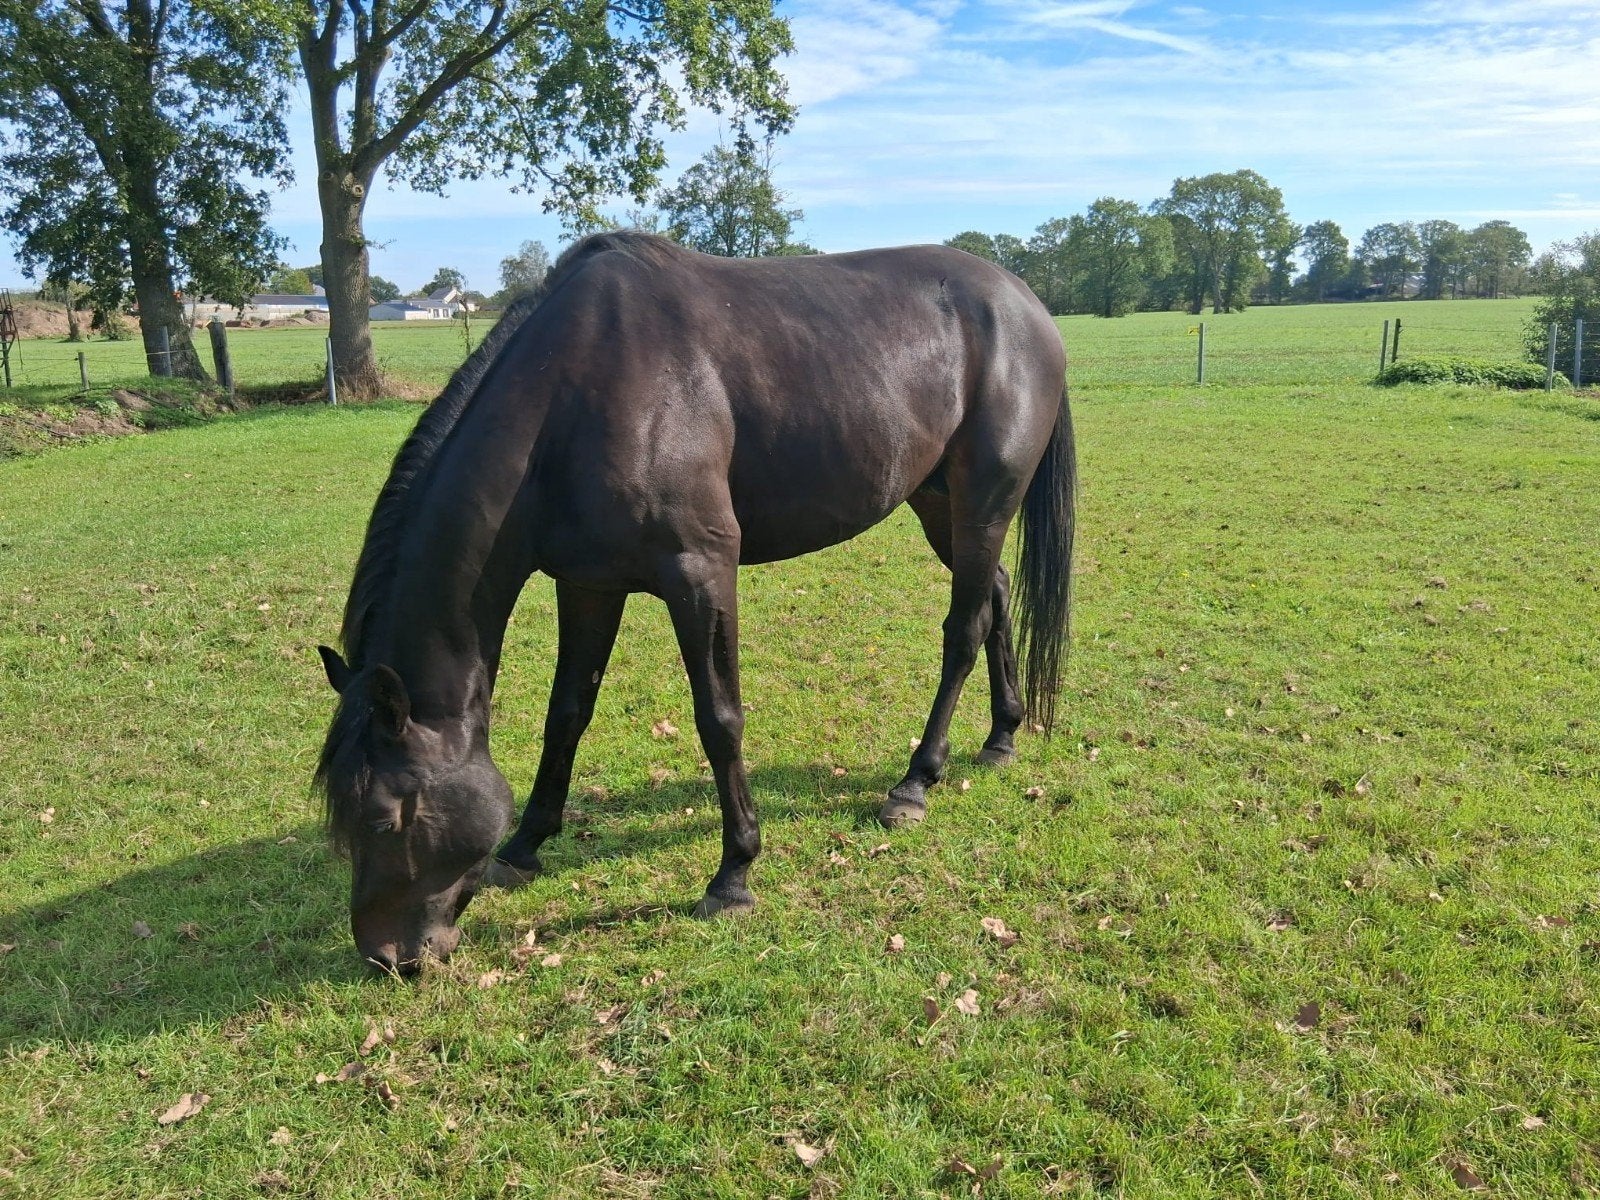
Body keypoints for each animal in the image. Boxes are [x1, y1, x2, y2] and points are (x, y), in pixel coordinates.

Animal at [315, 231, 1075, 974]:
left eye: (384, 818)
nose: (388, 958)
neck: (569, 399)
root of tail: (1024, 304)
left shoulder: (701, 574)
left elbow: (719, 719)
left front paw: (733, 874)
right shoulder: (588, 584)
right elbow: (568, 713)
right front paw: (525, 844)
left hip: (983, 501)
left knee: (964, 628)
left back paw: (915, 783)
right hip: (938, 502)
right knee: (996, 595)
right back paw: (1001, 738)